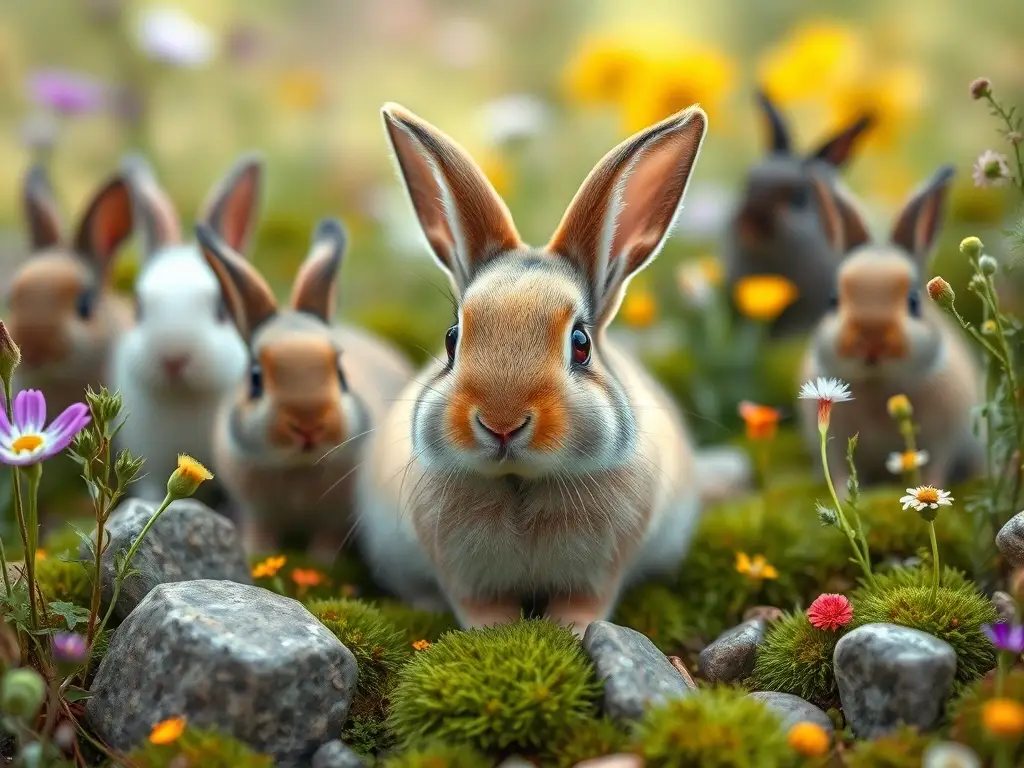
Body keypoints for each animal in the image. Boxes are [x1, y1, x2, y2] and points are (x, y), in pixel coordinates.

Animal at [195, 218, 413, 561]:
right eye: (255, 378)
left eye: (341, 374)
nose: (309, 425)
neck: (299, 467)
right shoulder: (257, 510)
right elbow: (260, 529)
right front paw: (257, 553)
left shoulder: (336, 516)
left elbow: (328, 535)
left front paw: (322, 561)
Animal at [355, 102, 739, 636]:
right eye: (452, 340)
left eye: (580, 344)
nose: (501, 422)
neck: (520, 481)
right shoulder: (462, 573)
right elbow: (478, 605)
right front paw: (491, 634)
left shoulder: (603, 567)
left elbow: (586, 600)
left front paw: (574, 631)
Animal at [798, 164, 984, 490]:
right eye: (833, 300)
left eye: (913, 302)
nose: (871, 339)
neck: (878, 384)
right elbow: (838, 468)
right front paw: (844, 490)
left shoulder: (944, 438)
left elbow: (936, 466)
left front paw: (933, 488)